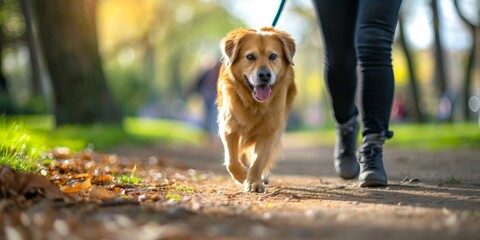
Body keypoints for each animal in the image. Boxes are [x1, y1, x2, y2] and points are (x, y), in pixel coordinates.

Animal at [218, 27, 296, 193]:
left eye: (273, 56)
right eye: (250, 57)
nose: (265, 75)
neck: (254, 104)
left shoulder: (269, 131)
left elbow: (259, 160)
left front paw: (253, 181)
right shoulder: (229, 129)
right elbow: (231, 161)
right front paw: (243, 175)